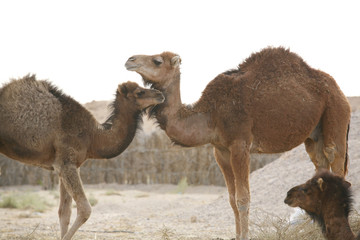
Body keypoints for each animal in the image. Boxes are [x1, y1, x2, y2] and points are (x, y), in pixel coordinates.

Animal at [0, 74, 165, 240]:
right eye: (139, 92)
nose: (160, 94)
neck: (93, 136)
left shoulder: (67, 166)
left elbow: (64, 212)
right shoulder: (66, 163)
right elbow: (85, 209)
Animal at [125, 47, 350, 240]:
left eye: (157, 61)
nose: (130, 60)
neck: (210, 113)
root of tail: (338, 89)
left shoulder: (240, 146)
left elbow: (243, 199)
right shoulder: (220, 150)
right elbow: (232, 199)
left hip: (335, 112)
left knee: (335, 159)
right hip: (312, 135)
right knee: (320, 162)